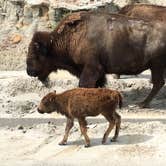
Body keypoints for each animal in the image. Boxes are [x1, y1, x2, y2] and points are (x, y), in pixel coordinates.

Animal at [26, 11, 166, 107]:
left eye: (36, 54)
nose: (29, 71)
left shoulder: (91, 68)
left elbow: (84, 85)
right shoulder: (98, 71)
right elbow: (98, 85)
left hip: (156, 65)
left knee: (158, 83)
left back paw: (142, 104)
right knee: (158, 83)